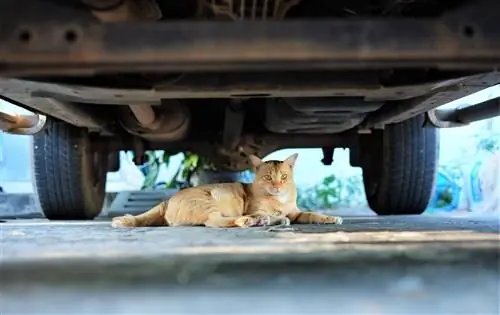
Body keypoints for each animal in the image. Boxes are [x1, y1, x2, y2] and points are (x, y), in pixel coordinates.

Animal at [111, 154, 342, 230]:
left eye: (283, 177)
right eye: (268, 177)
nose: (277, 186)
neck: (280, 201)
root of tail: (167, 202)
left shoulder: (296, 213)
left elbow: (312, 214)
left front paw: (330, 218)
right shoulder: (256, 208)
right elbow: (267, 213)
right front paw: (270, 217)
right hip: (208, 203)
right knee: (214, 221)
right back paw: (249, 221)